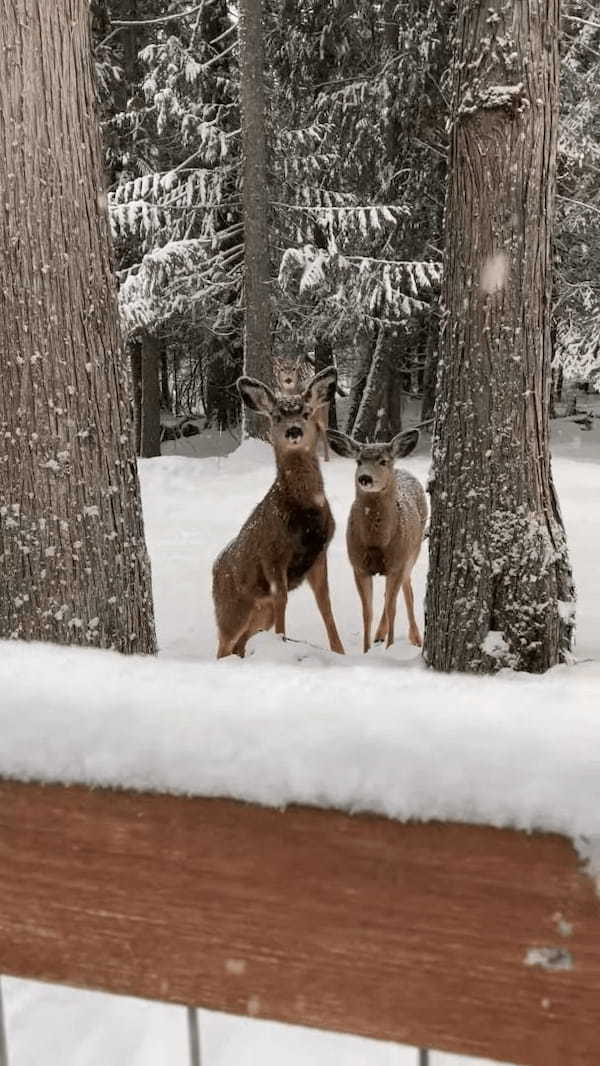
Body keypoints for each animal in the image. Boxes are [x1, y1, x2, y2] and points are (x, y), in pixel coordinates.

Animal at [212, 366, 345, 656]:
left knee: (240, 643)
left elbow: (326, 603)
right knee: (224, 644)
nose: (293, 430)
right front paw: (282, 642)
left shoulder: (319, 552)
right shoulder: (272, 554)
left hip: (260, 612)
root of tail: (214, 570)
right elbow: (283, 599)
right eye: (276, 415)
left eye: (306, 412)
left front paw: (340, 651)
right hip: (230, 610)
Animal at [323, 428, 426, 652]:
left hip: (413, 551)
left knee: (407, 591)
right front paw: (367, 649)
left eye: (383, 461)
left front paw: (389, 649)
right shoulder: (358, 566)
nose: (364, 478)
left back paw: (416, 638)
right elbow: (367, 612)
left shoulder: (397, 563)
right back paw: (380, 634)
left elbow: (393, 608)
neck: (377, 543)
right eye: (359, 461)